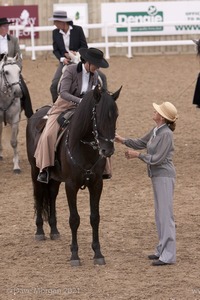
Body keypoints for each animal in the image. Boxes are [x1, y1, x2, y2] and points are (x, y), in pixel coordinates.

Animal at [26, 85, 121, 266]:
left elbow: (95, 217)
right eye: (98, 115)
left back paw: (54, 230)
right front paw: (75, 255)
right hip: (35, 171)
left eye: (116, 116)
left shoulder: (96, 184)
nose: (108, 150)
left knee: (52, 195)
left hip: (55, 179)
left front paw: (98, 253)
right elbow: (74, 219)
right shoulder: (71, 186)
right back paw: (40, 231)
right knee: (39, 195)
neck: (84, 147)